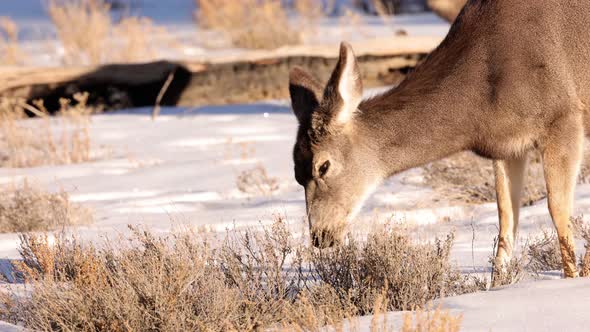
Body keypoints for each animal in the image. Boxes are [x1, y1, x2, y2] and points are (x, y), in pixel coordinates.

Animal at [290, 0, 588, 280]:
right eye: (296, 175)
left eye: (323, 166)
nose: (320, 236)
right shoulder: (507, 146)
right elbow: (506, 217)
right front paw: (497, 284)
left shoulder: (562, 116)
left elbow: (557, 209)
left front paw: (571, 278)